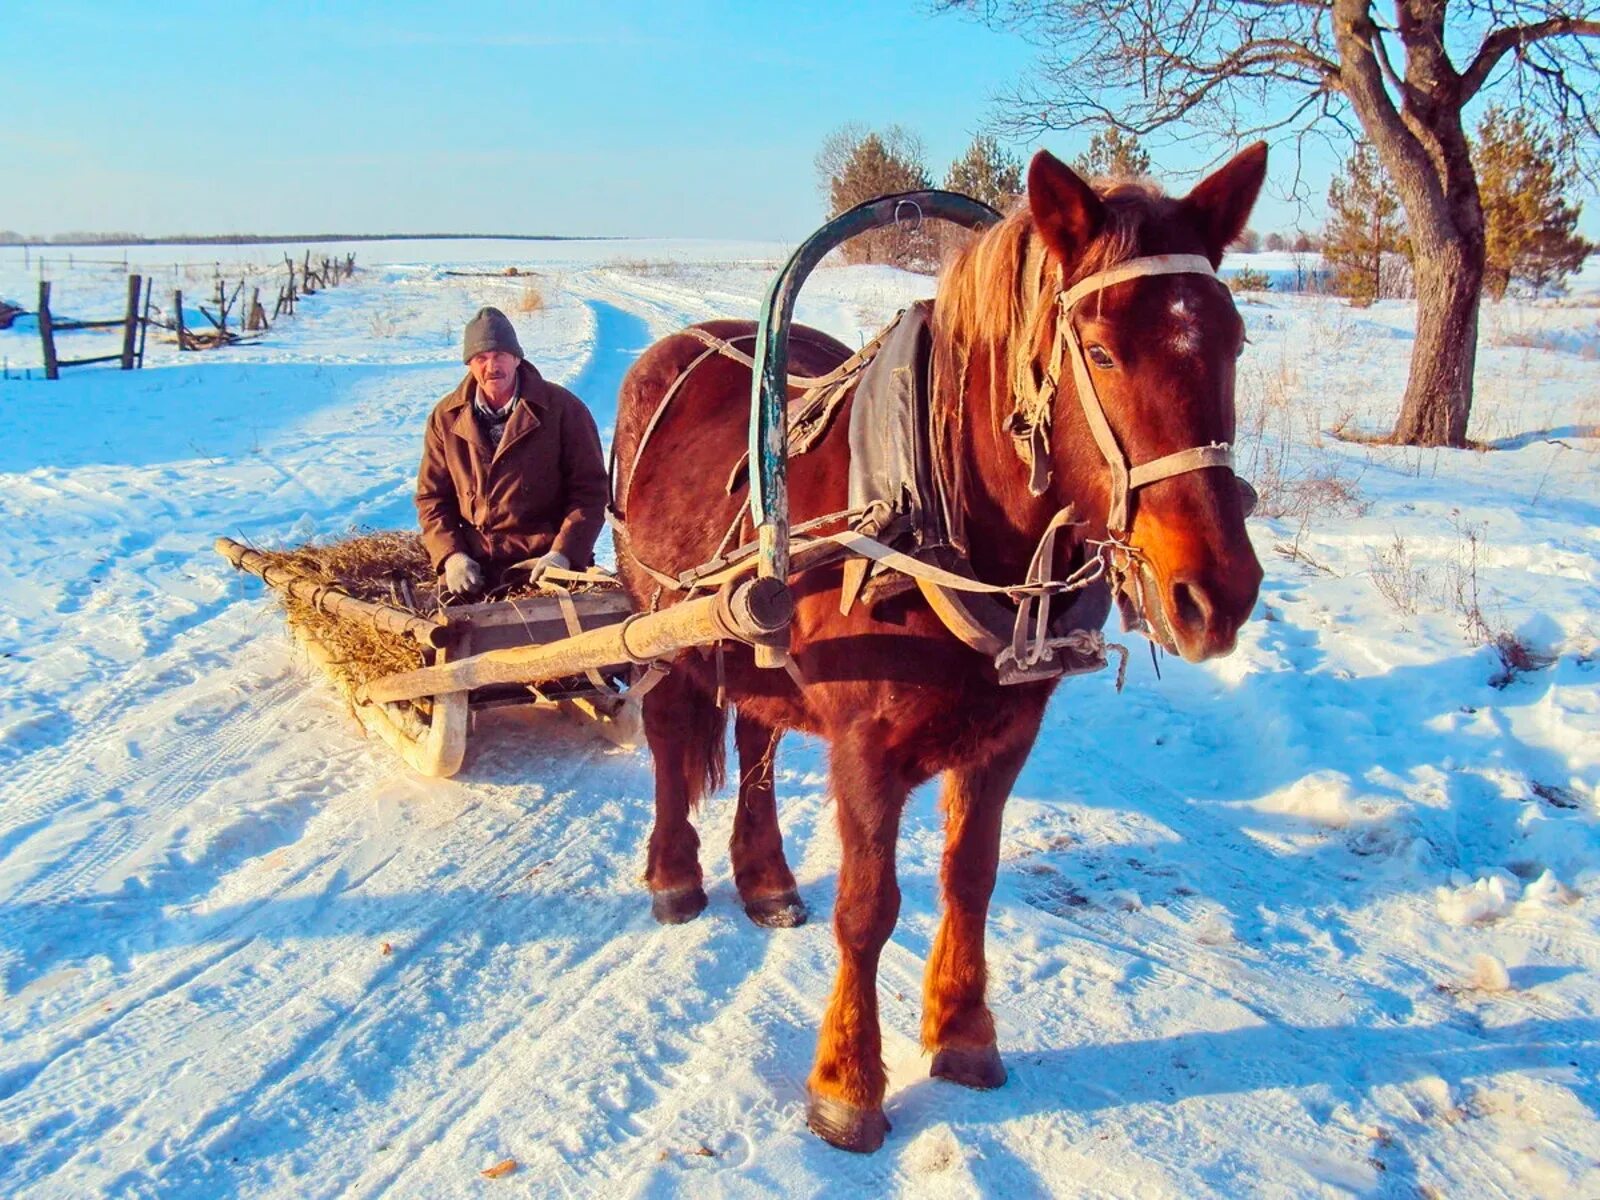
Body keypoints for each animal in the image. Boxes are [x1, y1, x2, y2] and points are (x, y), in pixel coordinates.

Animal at [604, 145, 1267, 1152]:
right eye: (1102, 351)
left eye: (1232, 341)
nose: (1217, 592)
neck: (934, 521)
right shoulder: (865, 750)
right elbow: (868, 909)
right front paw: (848, 1082)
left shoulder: (1004, 740)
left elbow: (970, 880)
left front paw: (961, 1032)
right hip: (661, 625)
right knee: (672, 736)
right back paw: (676, 874)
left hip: (756, 640)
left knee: (756, 740)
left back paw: (765, 877)